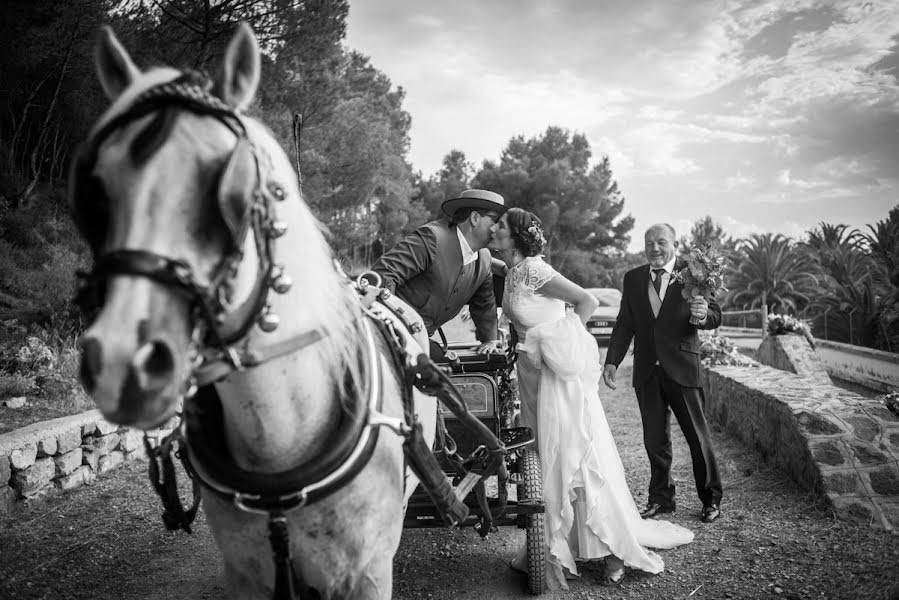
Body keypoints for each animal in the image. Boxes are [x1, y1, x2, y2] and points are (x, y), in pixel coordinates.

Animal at [70, 22, 436, 596]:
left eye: (235, 190)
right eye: (95, 190)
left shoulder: (368, 575)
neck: (278, 447)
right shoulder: (247, 575)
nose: (123, 364)